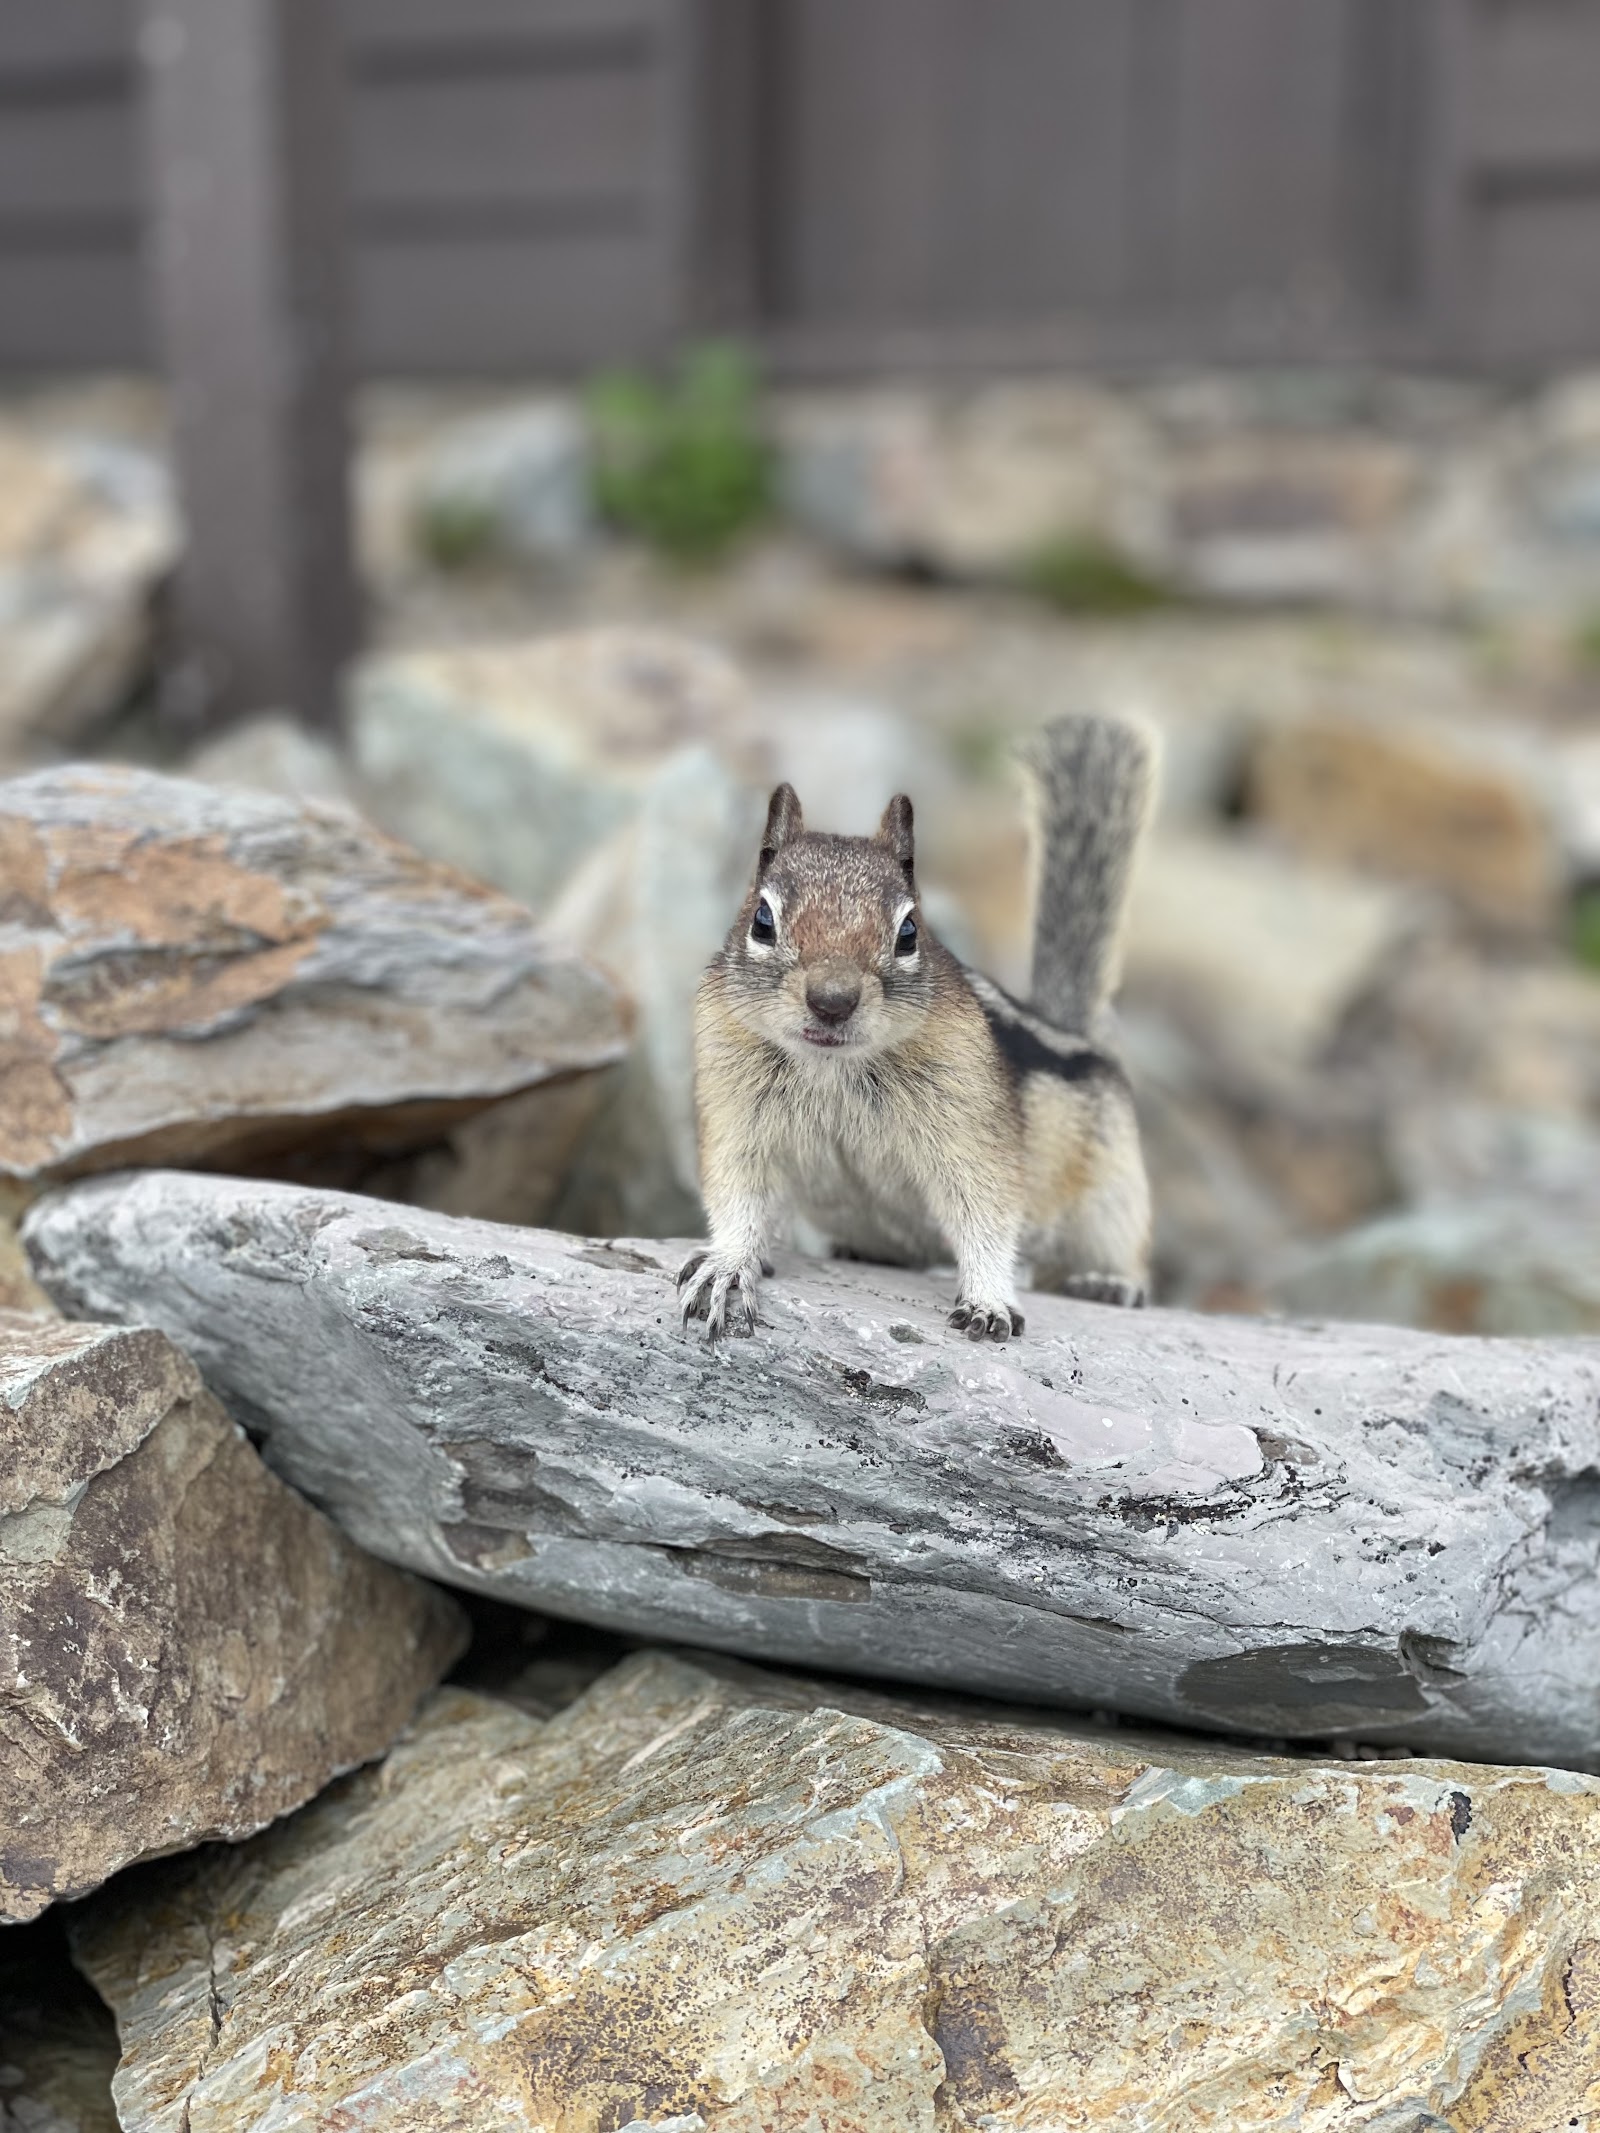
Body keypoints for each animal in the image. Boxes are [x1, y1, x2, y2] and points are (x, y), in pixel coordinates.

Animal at [677, 713, 1155, 1343]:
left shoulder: (969, 1122)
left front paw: (987, 1300)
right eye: (762, 920)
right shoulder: (735, 1107)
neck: (832, 1068)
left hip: (1114, 1196)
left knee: (1119, 1252)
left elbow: (985, 1210)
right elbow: (739, 1193)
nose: (832, 1001)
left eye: (908, 932)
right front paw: (730, 1265)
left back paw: (1109, 1282)